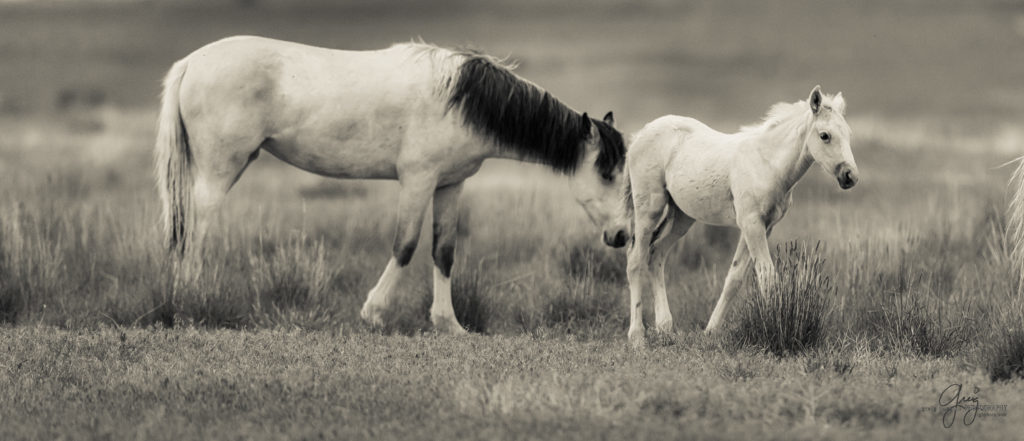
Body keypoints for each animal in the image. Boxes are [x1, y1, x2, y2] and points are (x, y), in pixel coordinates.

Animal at [155, 36, 626, 333]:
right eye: (606, 173)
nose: (622, 236)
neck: (462, 101)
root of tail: (191, 63)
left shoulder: (449, 185)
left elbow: (443, 252)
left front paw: (449, 324)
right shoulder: (417, 181)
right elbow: (405, 246)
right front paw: (374, 313)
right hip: (219, 173)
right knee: (195, 232)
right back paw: (193, 301)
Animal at [622, 86, 856, 347]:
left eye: (848, 134)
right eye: (825, 135)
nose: (850, 176)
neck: (767, 164)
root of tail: (640, 134)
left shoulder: (762, 226)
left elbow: (734, 278)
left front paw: (711, 331)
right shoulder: (751, 223)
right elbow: (767, 275)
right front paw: (778, 328)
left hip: (681, 216)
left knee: (656, 254)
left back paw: (665, 328)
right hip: (648, 209)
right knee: (635, 260)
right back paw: (637, 336)